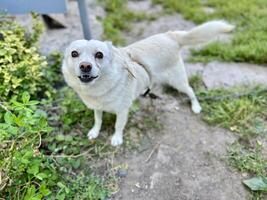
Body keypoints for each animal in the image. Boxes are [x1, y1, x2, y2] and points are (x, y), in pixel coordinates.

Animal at [62, 20, 234, 145]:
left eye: (99, 55)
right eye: (74, 54)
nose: (85, 66)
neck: (97, 88)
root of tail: (170, 36)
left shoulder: (122, 111)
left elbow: (118, 125)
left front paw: (117, 139)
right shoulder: (98, 107)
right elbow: (98, 120)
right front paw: (95, 132)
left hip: (178, 81)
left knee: (191, 90)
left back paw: (196, 106)